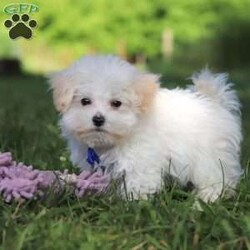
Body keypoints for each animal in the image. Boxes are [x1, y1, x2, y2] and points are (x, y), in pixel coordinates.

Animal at [47, 55, 241, 203]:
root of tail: (214, 101)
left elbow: (138, 181)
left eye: (116, 103)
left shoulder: (140, 160)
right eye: (85, 101)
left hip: (209, 156)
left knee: (217, 177)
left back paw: (208, 197)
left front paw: (131, 202)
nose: (98, 119)